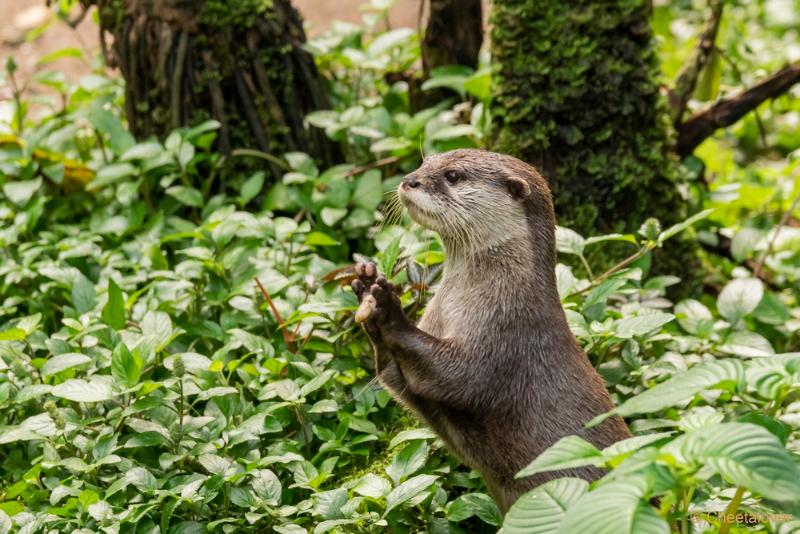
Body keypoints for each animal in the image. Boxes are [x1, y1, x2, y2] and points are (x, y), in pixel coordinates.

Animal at [350, 149, 632, 512]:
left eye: (453, 175)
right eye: (425, 162)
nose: (409, 180)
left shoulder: (507, 335)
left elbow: (458, 375)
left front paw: (388, 309)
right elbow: (396, 379)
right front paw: (366, 288)